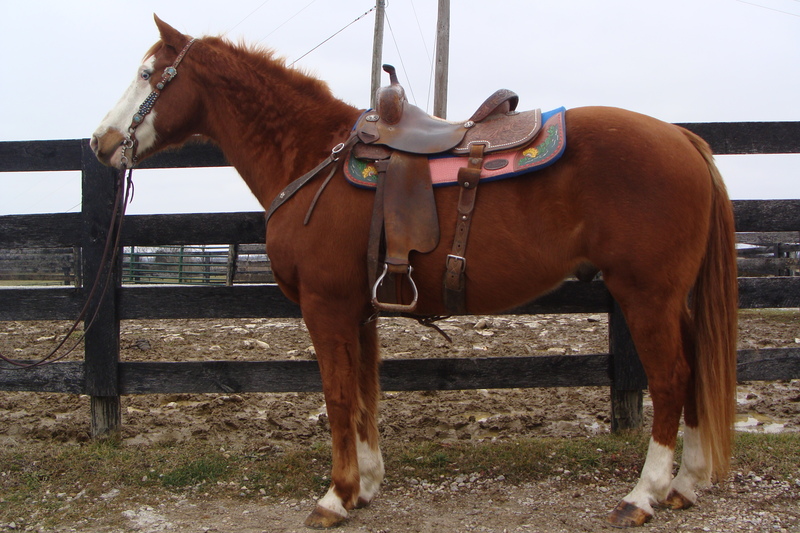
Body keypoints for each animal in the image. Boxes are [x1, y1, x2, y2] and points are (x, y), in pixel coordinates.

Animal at [91, 16, 738, 529]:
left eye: (149, 75)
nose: (99, 142)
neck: (312, 156)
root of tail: (683, 138)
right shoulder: (358, 311)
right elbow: (365, 393)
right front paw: (367, 484)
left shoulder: (325, 308)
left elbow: (337, 394)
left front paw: (336, 496)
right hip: (669, 299)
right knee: (694, 371)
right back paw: (685, 484)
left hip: (646, 296)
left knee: (671, 379)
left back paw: (643, 494)